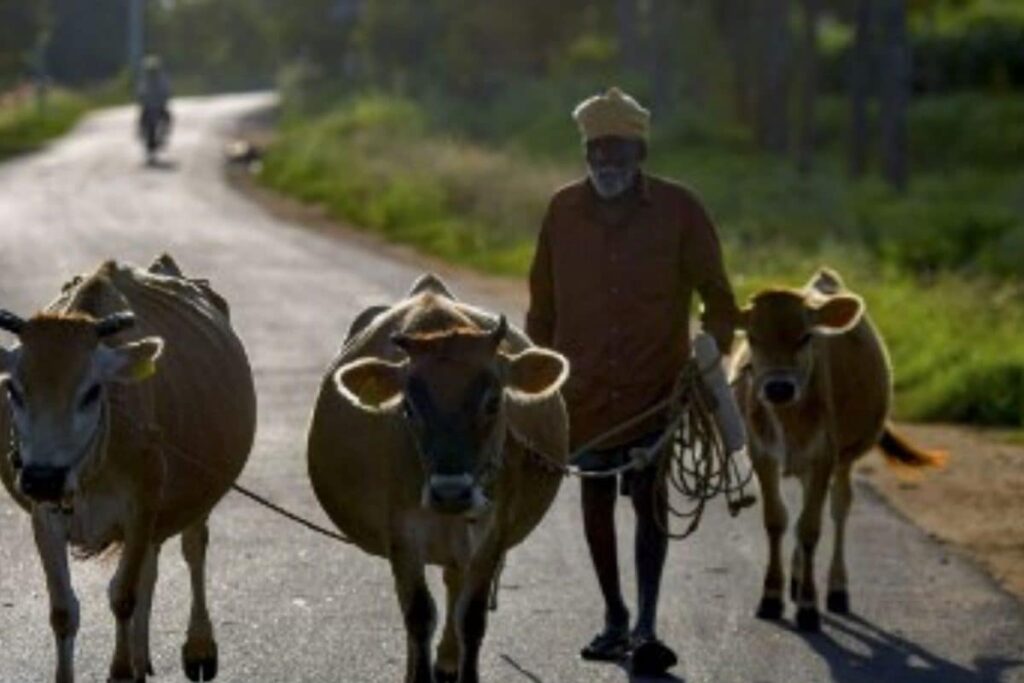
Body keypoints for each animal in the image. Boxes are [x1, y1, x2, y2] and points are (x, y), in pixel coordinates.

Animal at [0, 255, 256, 683]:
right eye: (13, 390)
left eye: (91, 391)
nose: (43, 478)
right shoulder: (45, 517)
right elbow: (63, 611)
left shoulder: (140, 509)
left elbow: (122, 596)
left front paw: (121, 670)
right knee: (151, 568)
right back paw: (142, 657)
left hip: (197, 496)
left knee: (193, 549)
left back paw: (199, 647)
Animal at [729, 270, 942, 634]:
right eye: (752, 338)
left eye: (806, 337)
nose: (779, 388)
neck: (790, 418)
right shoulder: (763, 455)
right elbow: (776, 520)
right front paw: (772, 596)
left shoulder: (823, 456)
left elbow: (810, 528)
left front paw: (808, 607)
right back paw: (797, 578)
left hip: (844, 459)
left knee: (839, 510)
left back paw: (836, 589)